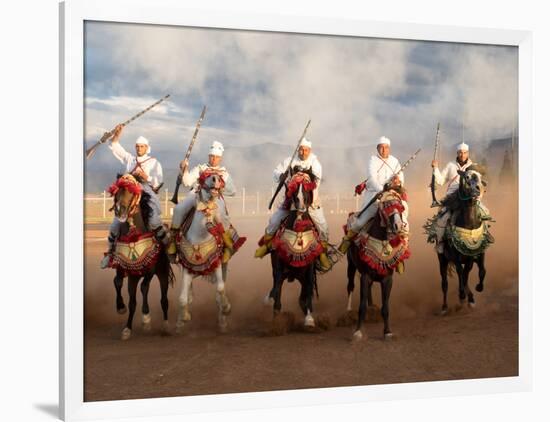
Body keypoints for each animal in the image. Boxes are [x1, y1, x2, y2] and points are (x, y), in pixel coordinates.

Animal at [175, 170, 246, 334]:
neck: (200, 235)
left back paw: (223, 321)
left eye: (220, 177)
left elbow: (220, 289)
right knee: (189, 294)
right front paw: (182, 319)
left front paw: (226, 309)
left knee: (219, 290)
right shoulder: (187, 268)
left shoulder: (217, 264)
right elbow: (182, 298)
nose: (216, 179)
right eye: (203, 176)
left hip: (224, 266)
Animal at [266, 170, 326, 328]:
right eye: (293, 184)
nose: (300, 202)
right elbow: (277, 292)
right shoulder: (279, 268)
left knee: (303, 296)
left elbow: (308, 292)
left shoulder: (309, 269)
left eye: (307, 183)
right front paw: (275, 321)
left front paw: (309, 319)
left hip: (301, 276)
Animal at [348, 187, 412, 340]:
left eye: (399, 206)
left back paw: (372, 308)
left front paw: (387, 331)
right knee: (350, 285)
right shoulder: (365, 276)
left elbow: (385, 307)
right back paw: (348, 310)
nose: (398, 225)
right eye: (386, 206)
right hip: (351, 265)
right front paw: (358, 331)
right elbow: (362, 306)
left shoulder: (387, 279)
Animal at [426, 165, 496, 314]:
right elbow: (460, 273)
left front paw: (476, 290)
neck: (469, 224)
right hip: (442, 259)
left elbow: (480, 271)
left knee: (464, 275)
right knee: (445, 282)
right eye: (466, 177)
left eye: (480, 177)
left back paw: (467, 298)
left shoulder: (477, 254)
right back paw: (445, 306)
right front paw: (463, 295)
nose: (479, 189)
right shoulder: (456, 256)